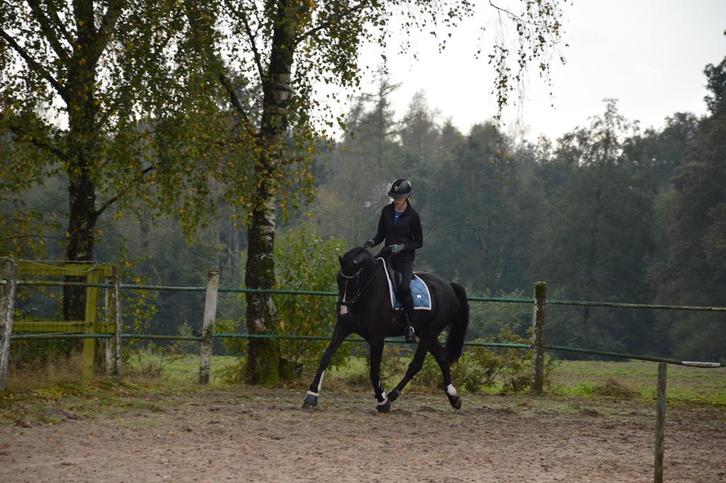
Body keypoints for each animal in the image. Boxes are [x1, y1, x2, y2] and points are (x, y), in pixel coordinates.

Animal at [302, 246, 469, 412]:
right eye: (339, 279)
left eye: (355, 280)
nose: (343, 311)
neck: (367, 291)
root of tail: (448, 285)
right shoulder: (343, 328)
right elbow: (326, 357)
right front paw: (311, 396)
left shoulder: (377, 337)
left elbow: (374, 370)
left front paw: (382, 400)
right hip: (425, 333)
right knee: (442, 357)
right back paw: (454, 397)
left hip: (430, 332)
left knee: (416, 364)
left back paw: (392, 395)